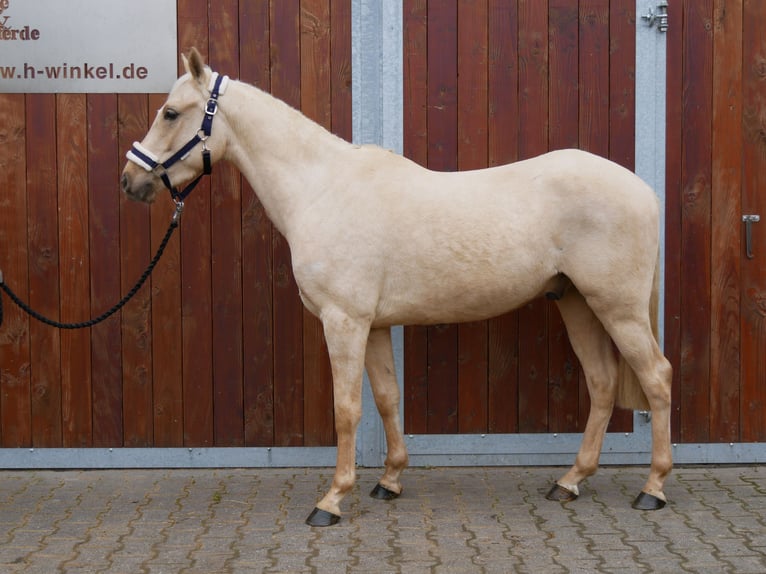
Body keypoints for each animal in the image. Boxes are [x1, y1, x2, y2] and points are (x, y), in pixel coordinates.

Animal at [120, 49, 672, 528]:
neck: (323, 189)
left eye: (171, 113)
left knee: (657, 377)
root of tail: (643, 191)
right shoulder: (376, 325)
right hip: (576, 303)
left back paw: (653, 489)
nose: (130, 181)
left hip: (617, 308)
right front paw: (389, 481)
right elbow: (387, 398)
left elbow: (347, 410)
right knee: (603, 382)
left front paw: (332, 500)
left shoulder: (344, 322)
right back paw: (570, 481)